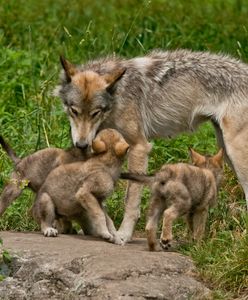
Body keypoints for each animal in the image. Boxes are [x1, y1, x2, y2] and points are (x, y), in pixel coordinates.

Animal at [54, 49, 248, 244]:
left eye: (95, 113)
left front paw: (123, 235)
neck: (118, 96)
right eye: (74, 111)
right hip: (226, 151)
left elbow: (131, 201)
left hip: (236, 154)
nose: (81, 145)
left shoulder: (139, 147)